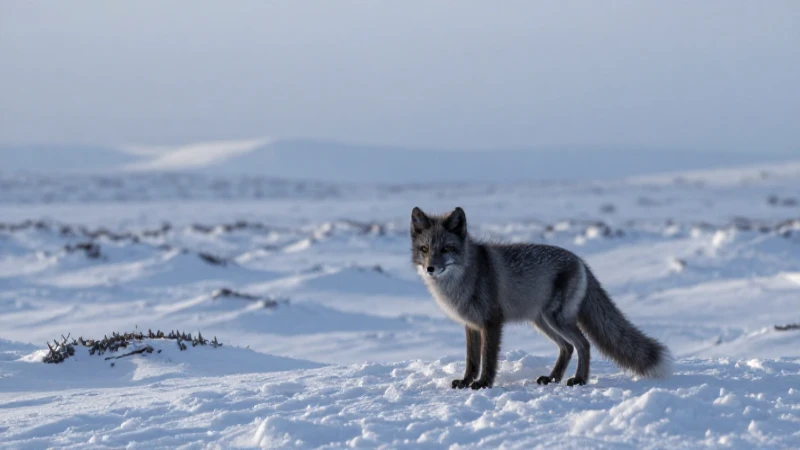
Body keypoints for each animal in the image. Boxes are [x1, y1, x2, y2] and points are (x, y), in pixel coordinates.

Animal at [410, 206, 671, 389]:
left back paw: (579, 379)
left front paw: (483, 384)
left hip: (556, 319)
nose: (430, 269)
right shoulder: (471, 325)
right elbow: (471, 360)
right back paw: (553, 378)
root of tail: (581, 261)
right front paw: (465, 382)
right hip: (542, 322)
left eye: (446, 249)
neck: (466, 275)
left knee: (583, 344)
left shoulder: (492, 322)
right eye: (425, 249)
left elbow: (487, 358)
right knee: (567, 347)